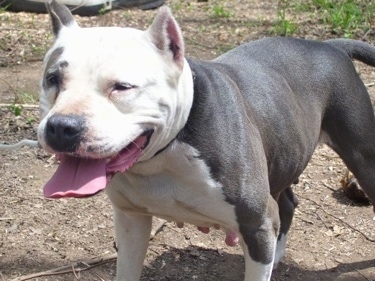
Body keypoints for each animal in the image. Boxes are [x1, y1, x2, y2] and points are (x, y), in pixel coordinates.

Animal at [37, 1, 375, 278]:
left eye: (122, 86)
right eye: (53, 79)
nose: (62, 126)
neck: (164, 156)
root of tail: (328, 46)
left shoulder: (257, 225)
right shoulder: (131, 220)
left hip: (362, 158)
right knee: (288, 202)